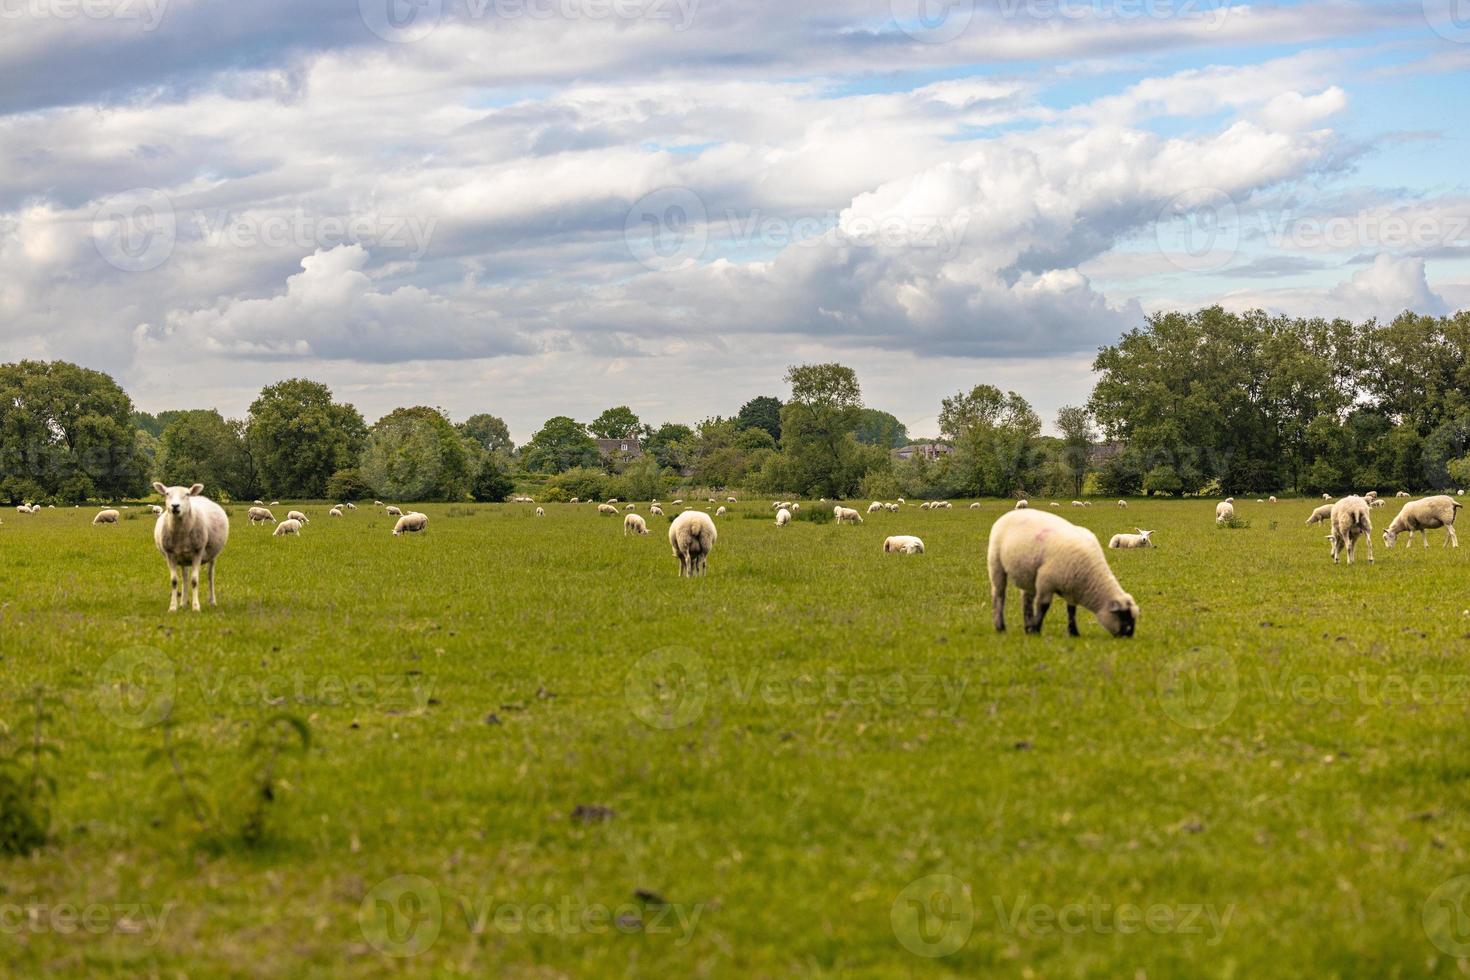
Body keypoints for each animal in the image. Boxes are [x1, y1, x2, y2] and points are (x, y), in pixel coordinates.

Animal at [152, 481, 229, 614]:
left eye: (187, 494)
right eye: (167, 493)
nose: (175, 506)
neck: (180, 533)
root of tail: (200, 496)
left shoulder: (197, 553)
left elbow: (194, 581)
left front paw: (196, 607)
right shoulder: (170, 555)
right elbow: (174, 581)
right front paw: (173, 607)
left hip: (212, 555)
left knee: (210, 576)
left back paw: (212, 601)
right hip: (183, 557)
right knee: (185, 576)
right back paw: (183, 603)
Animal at [987, 511, 1134, 640]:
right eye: (1124, 617)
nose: (1128, 638)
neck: (1090, 575)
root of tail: (1011, 513)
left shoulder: (1071, 588)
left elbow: (1071, 610)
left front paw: (1074, 633)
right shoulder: (1046, 581)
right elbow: (1043, 606)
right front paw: (1037, 630)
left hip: (1027, 573)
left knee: (1026, 600)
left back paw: (1027, 627)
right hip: (996, 563)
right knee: (999, 595)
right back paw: (1001, 627)